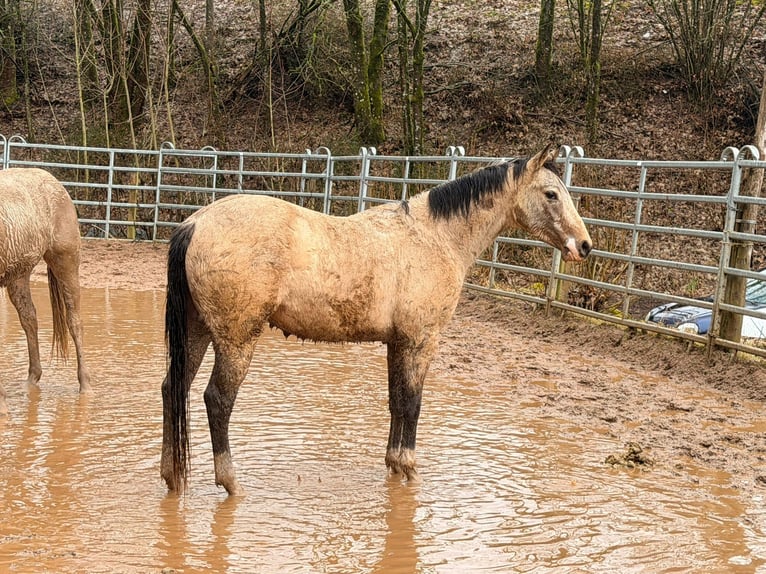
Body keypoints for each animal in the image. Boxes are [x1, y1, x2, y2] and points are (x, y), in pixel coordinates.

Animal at [0, 168, 92, 415]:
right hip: (18, 276)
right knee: (29, 319)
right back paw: (31, 381)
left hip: (65, 263)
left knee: (75, 322)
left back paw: (85, 386)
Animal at [161, 144, 592, 495]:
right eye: (551, 194)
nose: (584, 246)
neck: (435, 238)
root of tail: (195, 224)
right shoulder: (421, 340)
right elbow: (413, 403)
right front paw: (410, 469)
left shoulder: (397, 341)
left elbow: (396, 401)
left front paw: (393, 465)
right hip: (236, 339)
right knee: (217, 400)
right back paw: (230, 482)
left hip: (198, 332)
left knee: (173, 389)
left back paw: (172, 475)